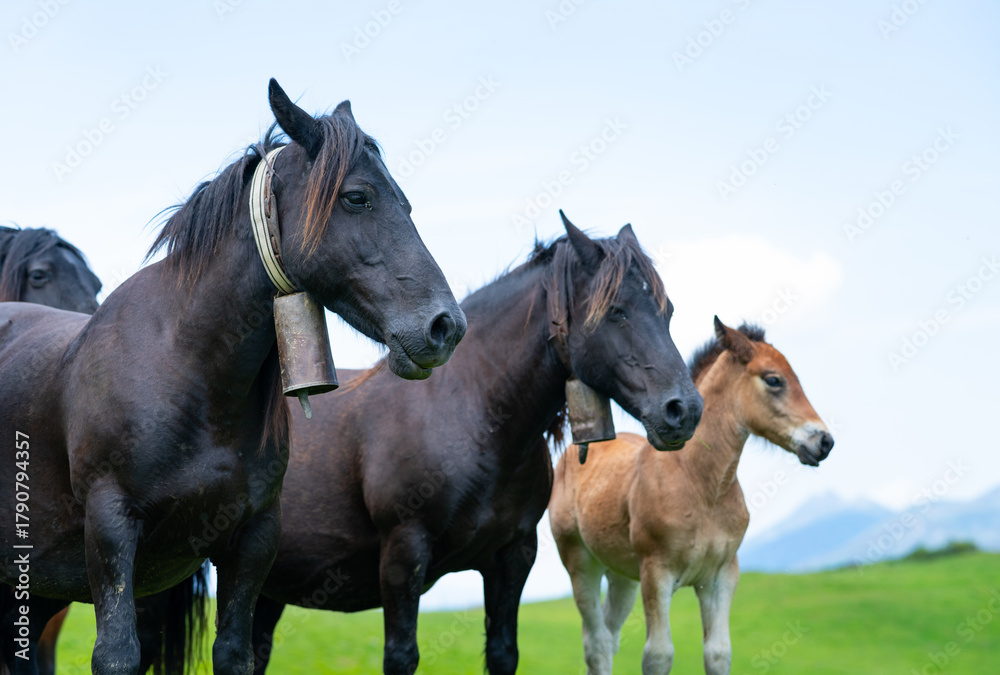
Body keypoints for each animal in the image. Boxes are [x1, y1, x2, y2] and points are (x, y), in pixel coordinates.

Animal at [0, 78, 465, 674]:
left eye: (404, 202)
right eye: (356, 197)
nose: (446, 327)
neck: (186, 375)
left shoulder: (253, 539)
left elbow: (235, 652)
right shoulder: (110, 529)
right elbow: (118, 655)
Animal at [248, 213, 704, 675]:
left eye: (667, 311)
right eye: (616, 312)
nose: (684, 410)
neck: (473, 415)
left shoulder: (513, 557)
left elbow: (503, 651)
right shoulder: (403, 554)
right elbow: (401, 655)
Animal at [549, 317, 835, 675]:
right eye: (774, 380)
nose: (824, 441)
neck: (701, 486)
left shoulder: (721, 576)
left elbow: (718, 652)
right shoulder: (656, 573)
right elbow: (658, 655)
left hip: (622, 576)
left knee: (609, 636)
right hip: (580, 563)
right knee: (596, 643)